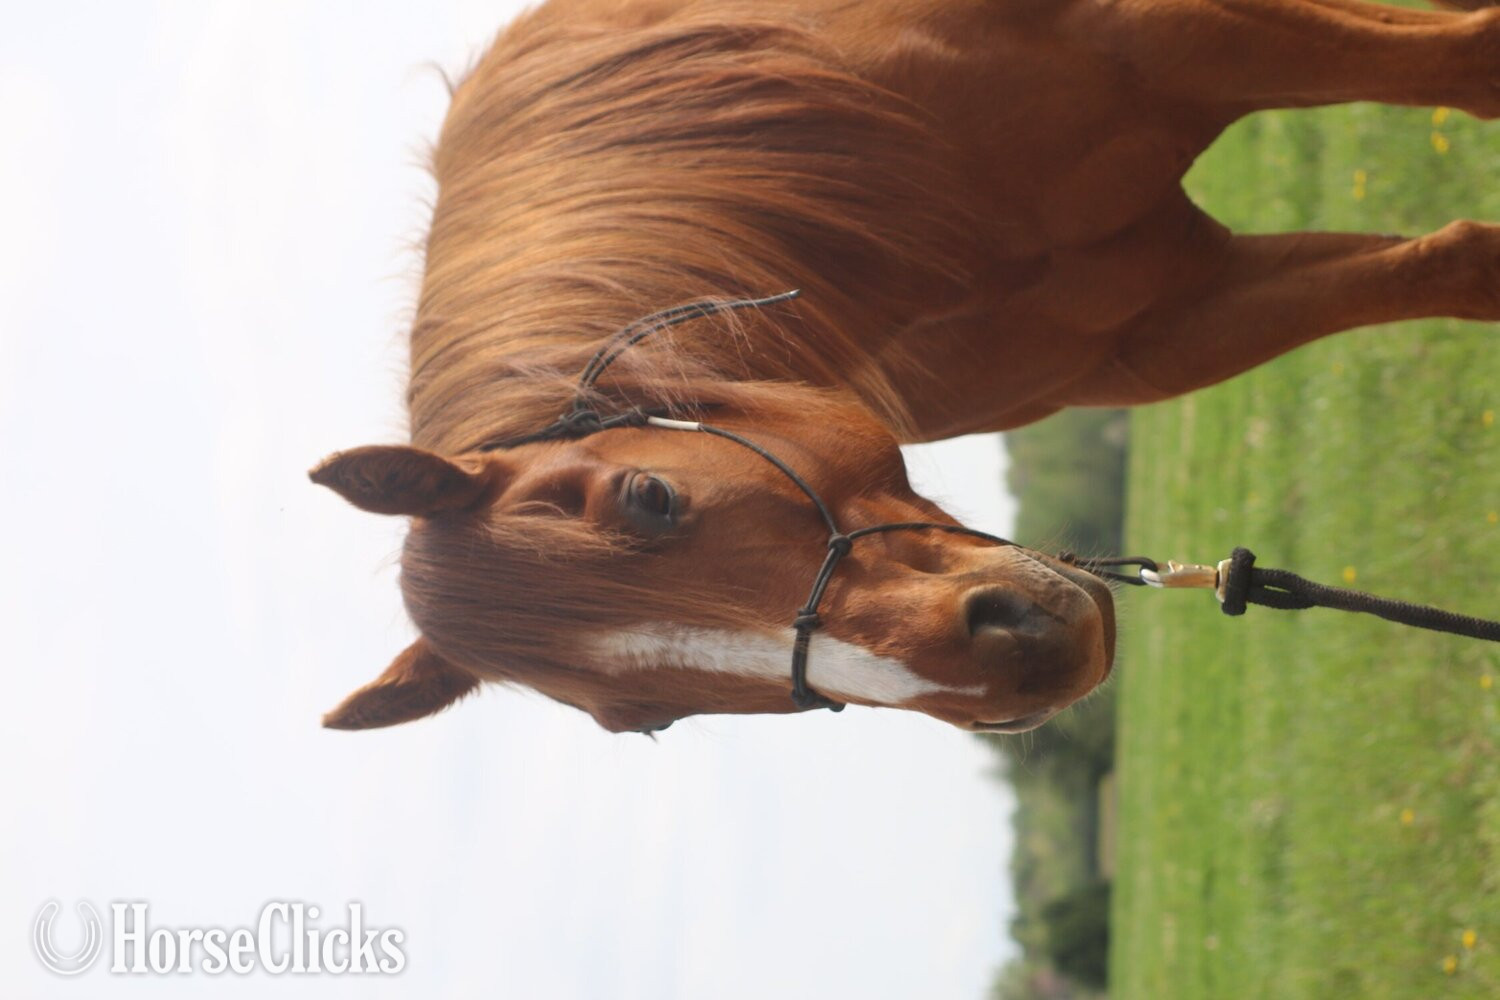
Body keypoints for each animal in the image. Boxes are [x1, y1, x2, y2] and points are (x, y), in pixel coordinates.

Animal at [312, 0, 1499, 734]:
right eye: (649, 719)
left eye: (649, 496)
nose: (1011, 666)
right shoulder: (1174, 316)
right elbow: (1457, 264)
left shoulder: (1183, 35)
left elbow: (1472, 66)